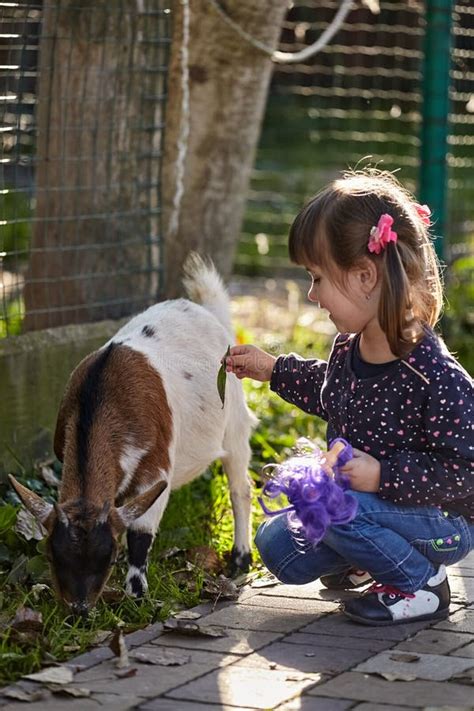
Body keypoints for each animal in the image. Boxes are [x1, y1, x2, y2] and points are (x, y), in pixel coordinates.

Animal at [9, 256, 258, 616]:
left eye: (109, 558)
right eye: (51, 556)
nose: (79, 610)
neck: (99, 398)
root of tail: (205, 310)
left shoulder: (156, 468)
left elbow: (141, 533)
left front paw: (136, 593)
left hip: (235, 424)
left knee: (241, 488)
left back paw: (240, 559)